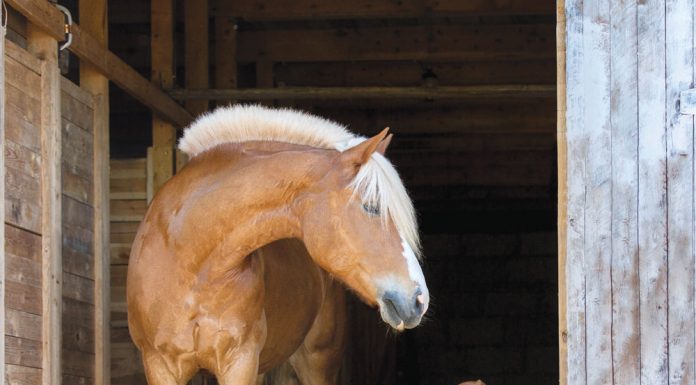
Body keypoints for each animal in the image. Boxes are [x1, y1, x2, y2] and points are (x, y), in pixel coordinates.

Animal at [125, 105, 430, 384]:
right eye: (372, 207)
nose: (419, 299)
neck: (189, 257)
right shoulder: (160, 364)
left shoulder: (240, 362)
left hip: (316, 361)